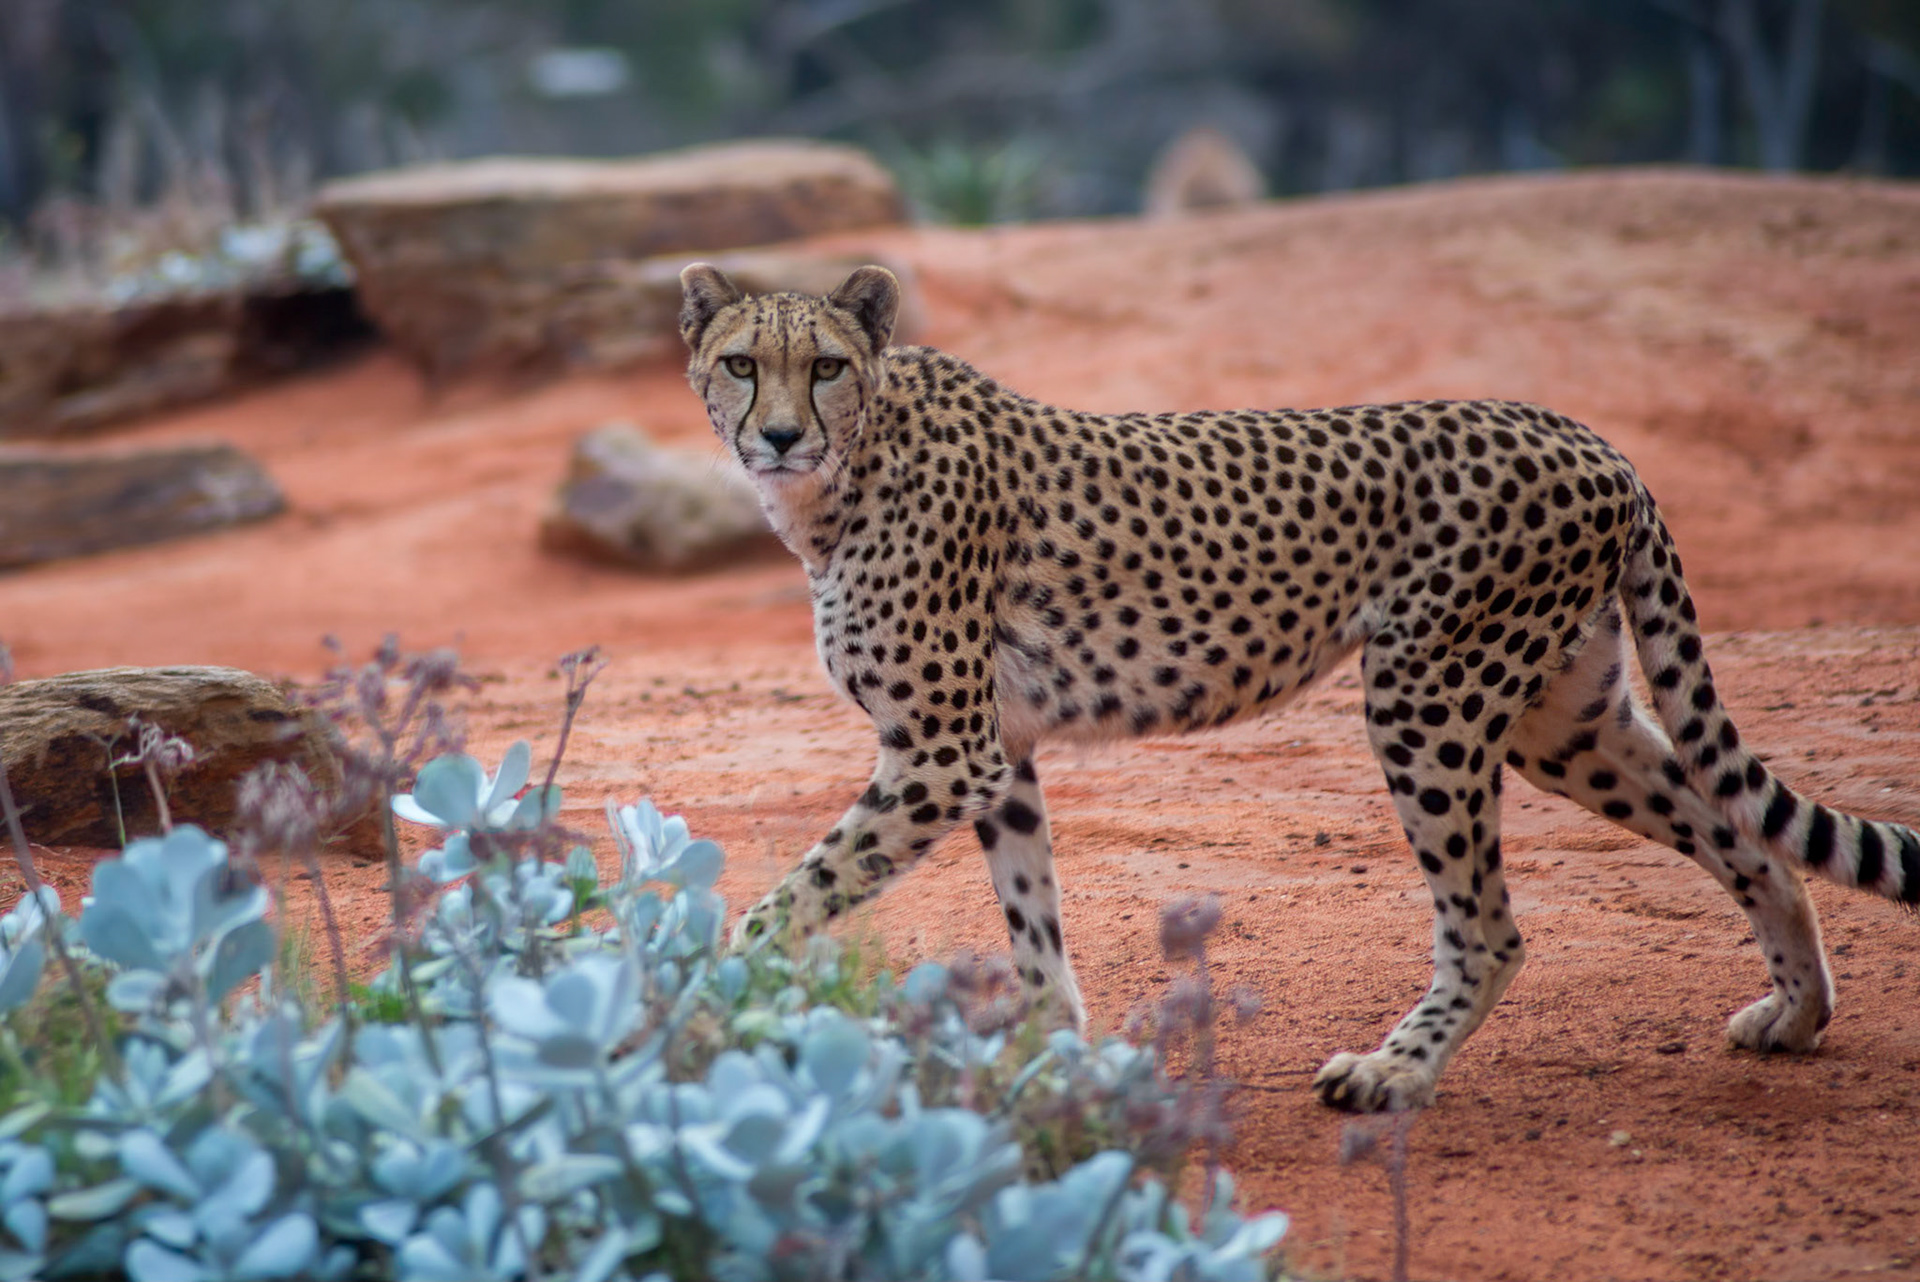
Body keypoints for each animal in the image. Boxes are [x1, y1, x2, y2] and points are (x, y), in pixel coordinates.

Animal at [677, 261, 1920, 1113]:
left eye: (824, 365)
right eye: (742, 363)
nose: (777, 434)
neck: (848, 470)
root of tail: (1586, 435)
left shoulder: (944, 751)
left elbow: (787, 898)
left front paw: (703, 998)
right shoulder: (1000, 754)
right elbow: (1032, 922)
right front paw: (1058, 1057)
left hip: (1428, 696)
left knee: (1491, 925)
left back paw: (1394, 1073)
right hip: (1566, 721)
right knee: (1749, 840)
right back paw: (1797, 1011)